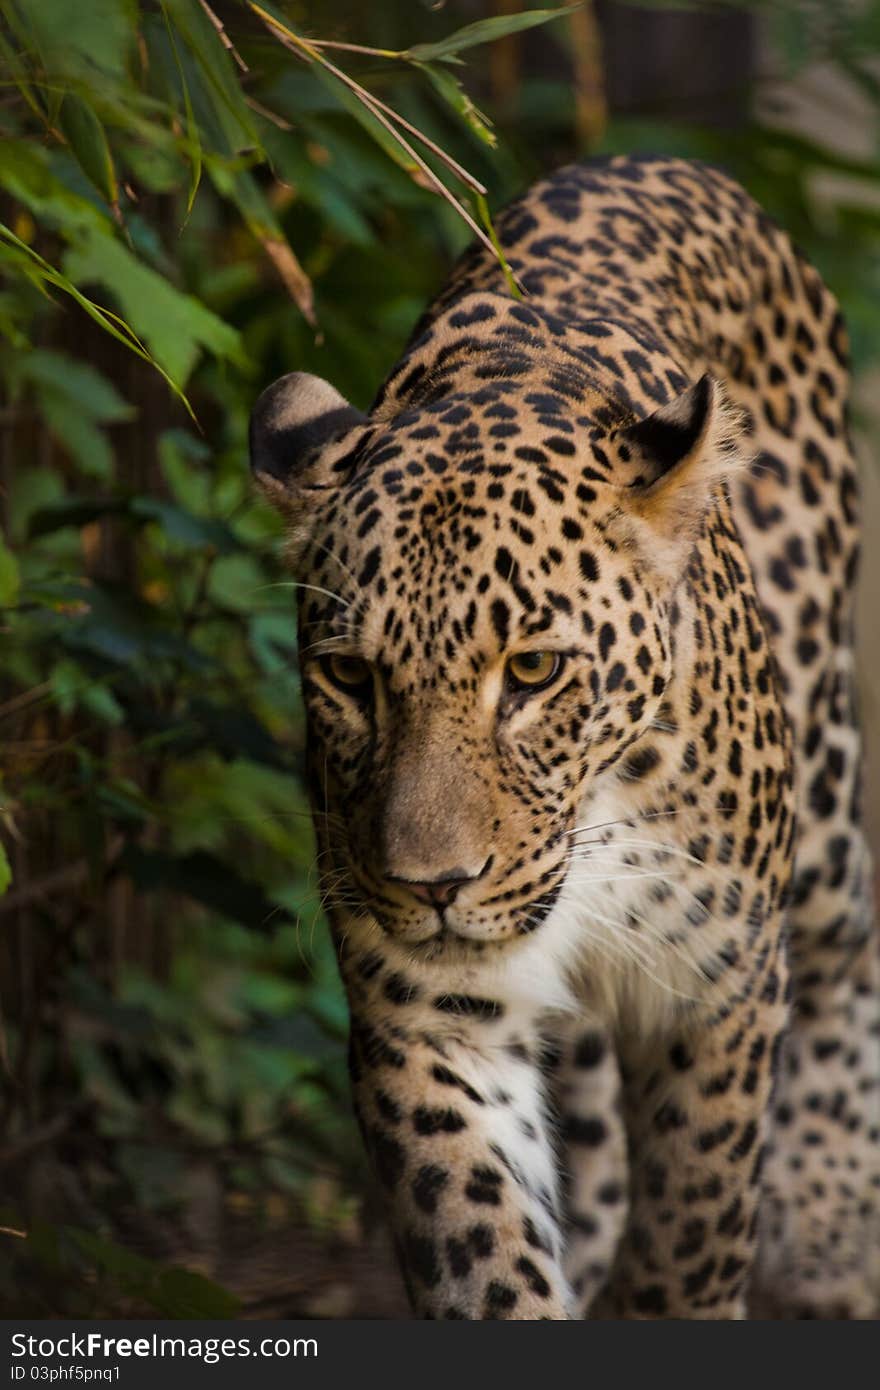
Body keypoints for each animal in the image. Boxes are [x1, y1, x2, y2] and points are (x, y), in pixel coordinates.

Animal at [247, 157, 878, 1317]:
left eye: (533, 672)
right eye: (351, 677)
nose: (431, 886)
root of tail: (663, 161)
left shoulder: (714, 985)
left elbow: (694, 1224)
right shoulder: (425, 1015)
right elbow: (483, 1243)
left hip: (815, 790)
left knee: (842, 945)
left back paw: (826, 1233)